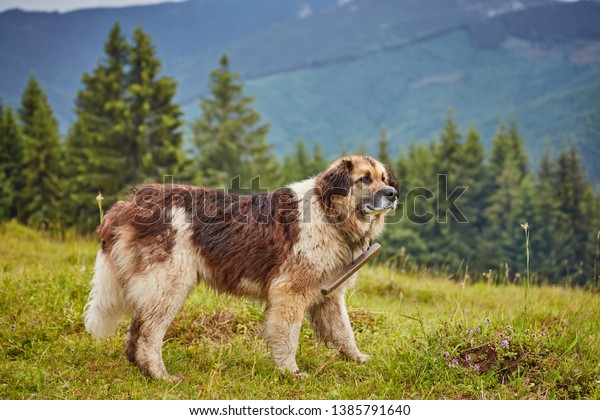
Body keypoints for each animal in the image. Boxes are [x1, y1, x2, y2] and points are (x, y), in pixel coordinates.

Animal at [82, 154, 396, 380]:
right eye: (364, 179)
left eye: (383, 178)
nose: (392, 193)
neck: (328, 214)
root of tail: (126, 204)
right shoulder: (289, 293)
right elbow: (288, 336)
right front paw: (291, 372)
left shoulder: (329, 295)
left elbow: (344, 333)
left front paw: (358, 359)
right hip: (169, 285)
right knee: (149, 334)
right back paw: (160, 376)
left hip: (156, 287)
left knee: (136, 329)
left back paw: (141, 370)